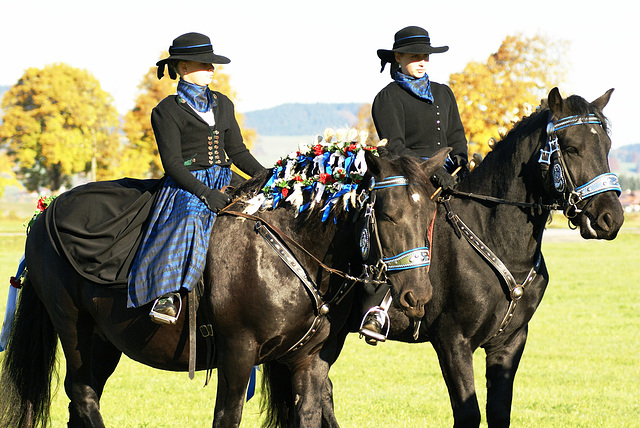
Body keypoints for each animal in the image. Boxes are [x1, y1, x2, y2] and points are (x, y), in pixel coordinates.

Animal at [0, 146, 450, 424]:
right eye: (388, 214)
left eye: (430, 212)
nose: (418, 295)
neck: (289, 251)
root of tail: (46, 212)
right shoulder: (238, 353)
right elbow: (227, 417)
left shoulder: (309, 362)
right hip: (72, 324)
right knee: (82, 391)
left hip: (104, 339)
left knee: (82, 395)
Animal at [258, 87, 620, 424]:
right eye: (571, 147)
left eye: (606, 146)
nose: (610, 218)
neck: (494, 234)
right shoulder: (453, 341)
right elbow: (469, 413)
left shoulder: (510, 342)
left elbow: (499, 412)